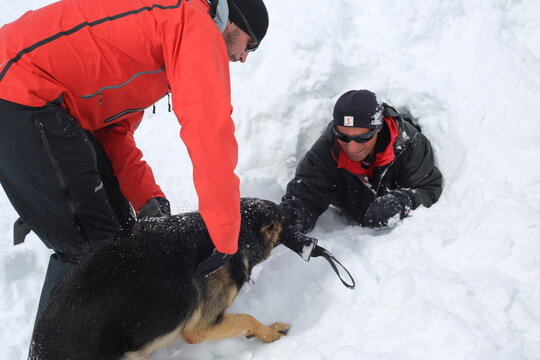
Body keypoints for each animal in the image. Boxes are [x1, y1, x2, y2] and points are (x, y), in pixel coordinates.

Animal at [29, 198, 314, 358]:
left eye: (275, 207)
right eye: (273, 222)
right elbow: (247, 318)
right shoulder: (200, 328)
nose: (295, 210)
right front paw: (271, 335)